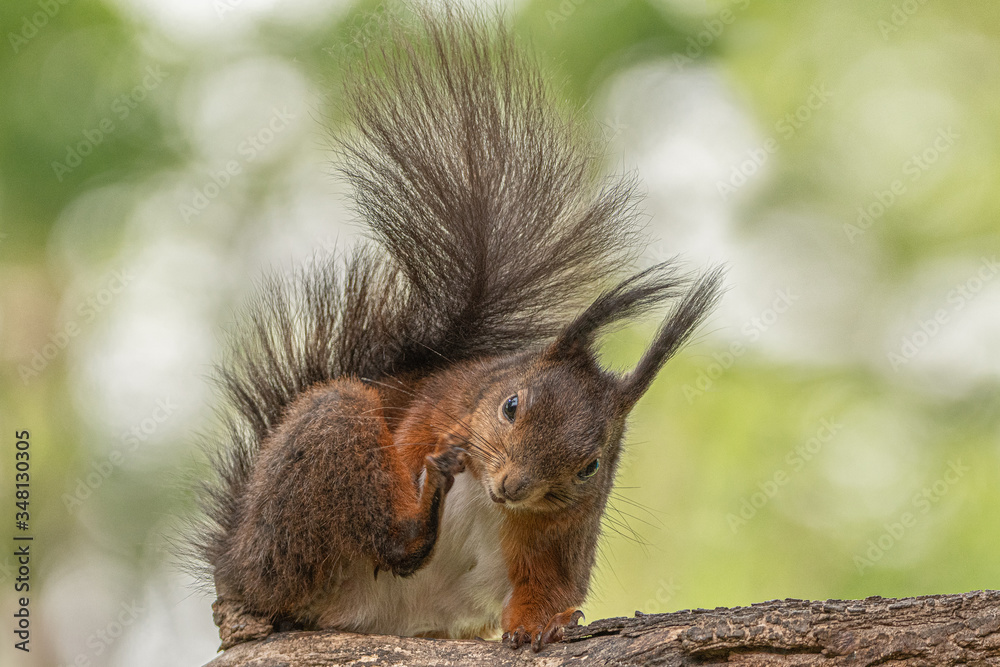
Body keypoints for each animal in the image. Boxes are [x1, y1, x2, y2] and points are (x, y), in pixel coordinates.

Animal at [189, 2, 720, 656]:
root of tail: (235, 572)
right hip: (323, 448)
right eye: (512, 405)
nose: (515, 486)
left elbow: (550, 583)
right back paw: (419, 515)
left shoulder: (564, 532)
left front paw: (543, 624)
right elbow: (407, 447)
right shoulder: (433, 413)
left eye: (591, 467)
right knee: (375, 532)